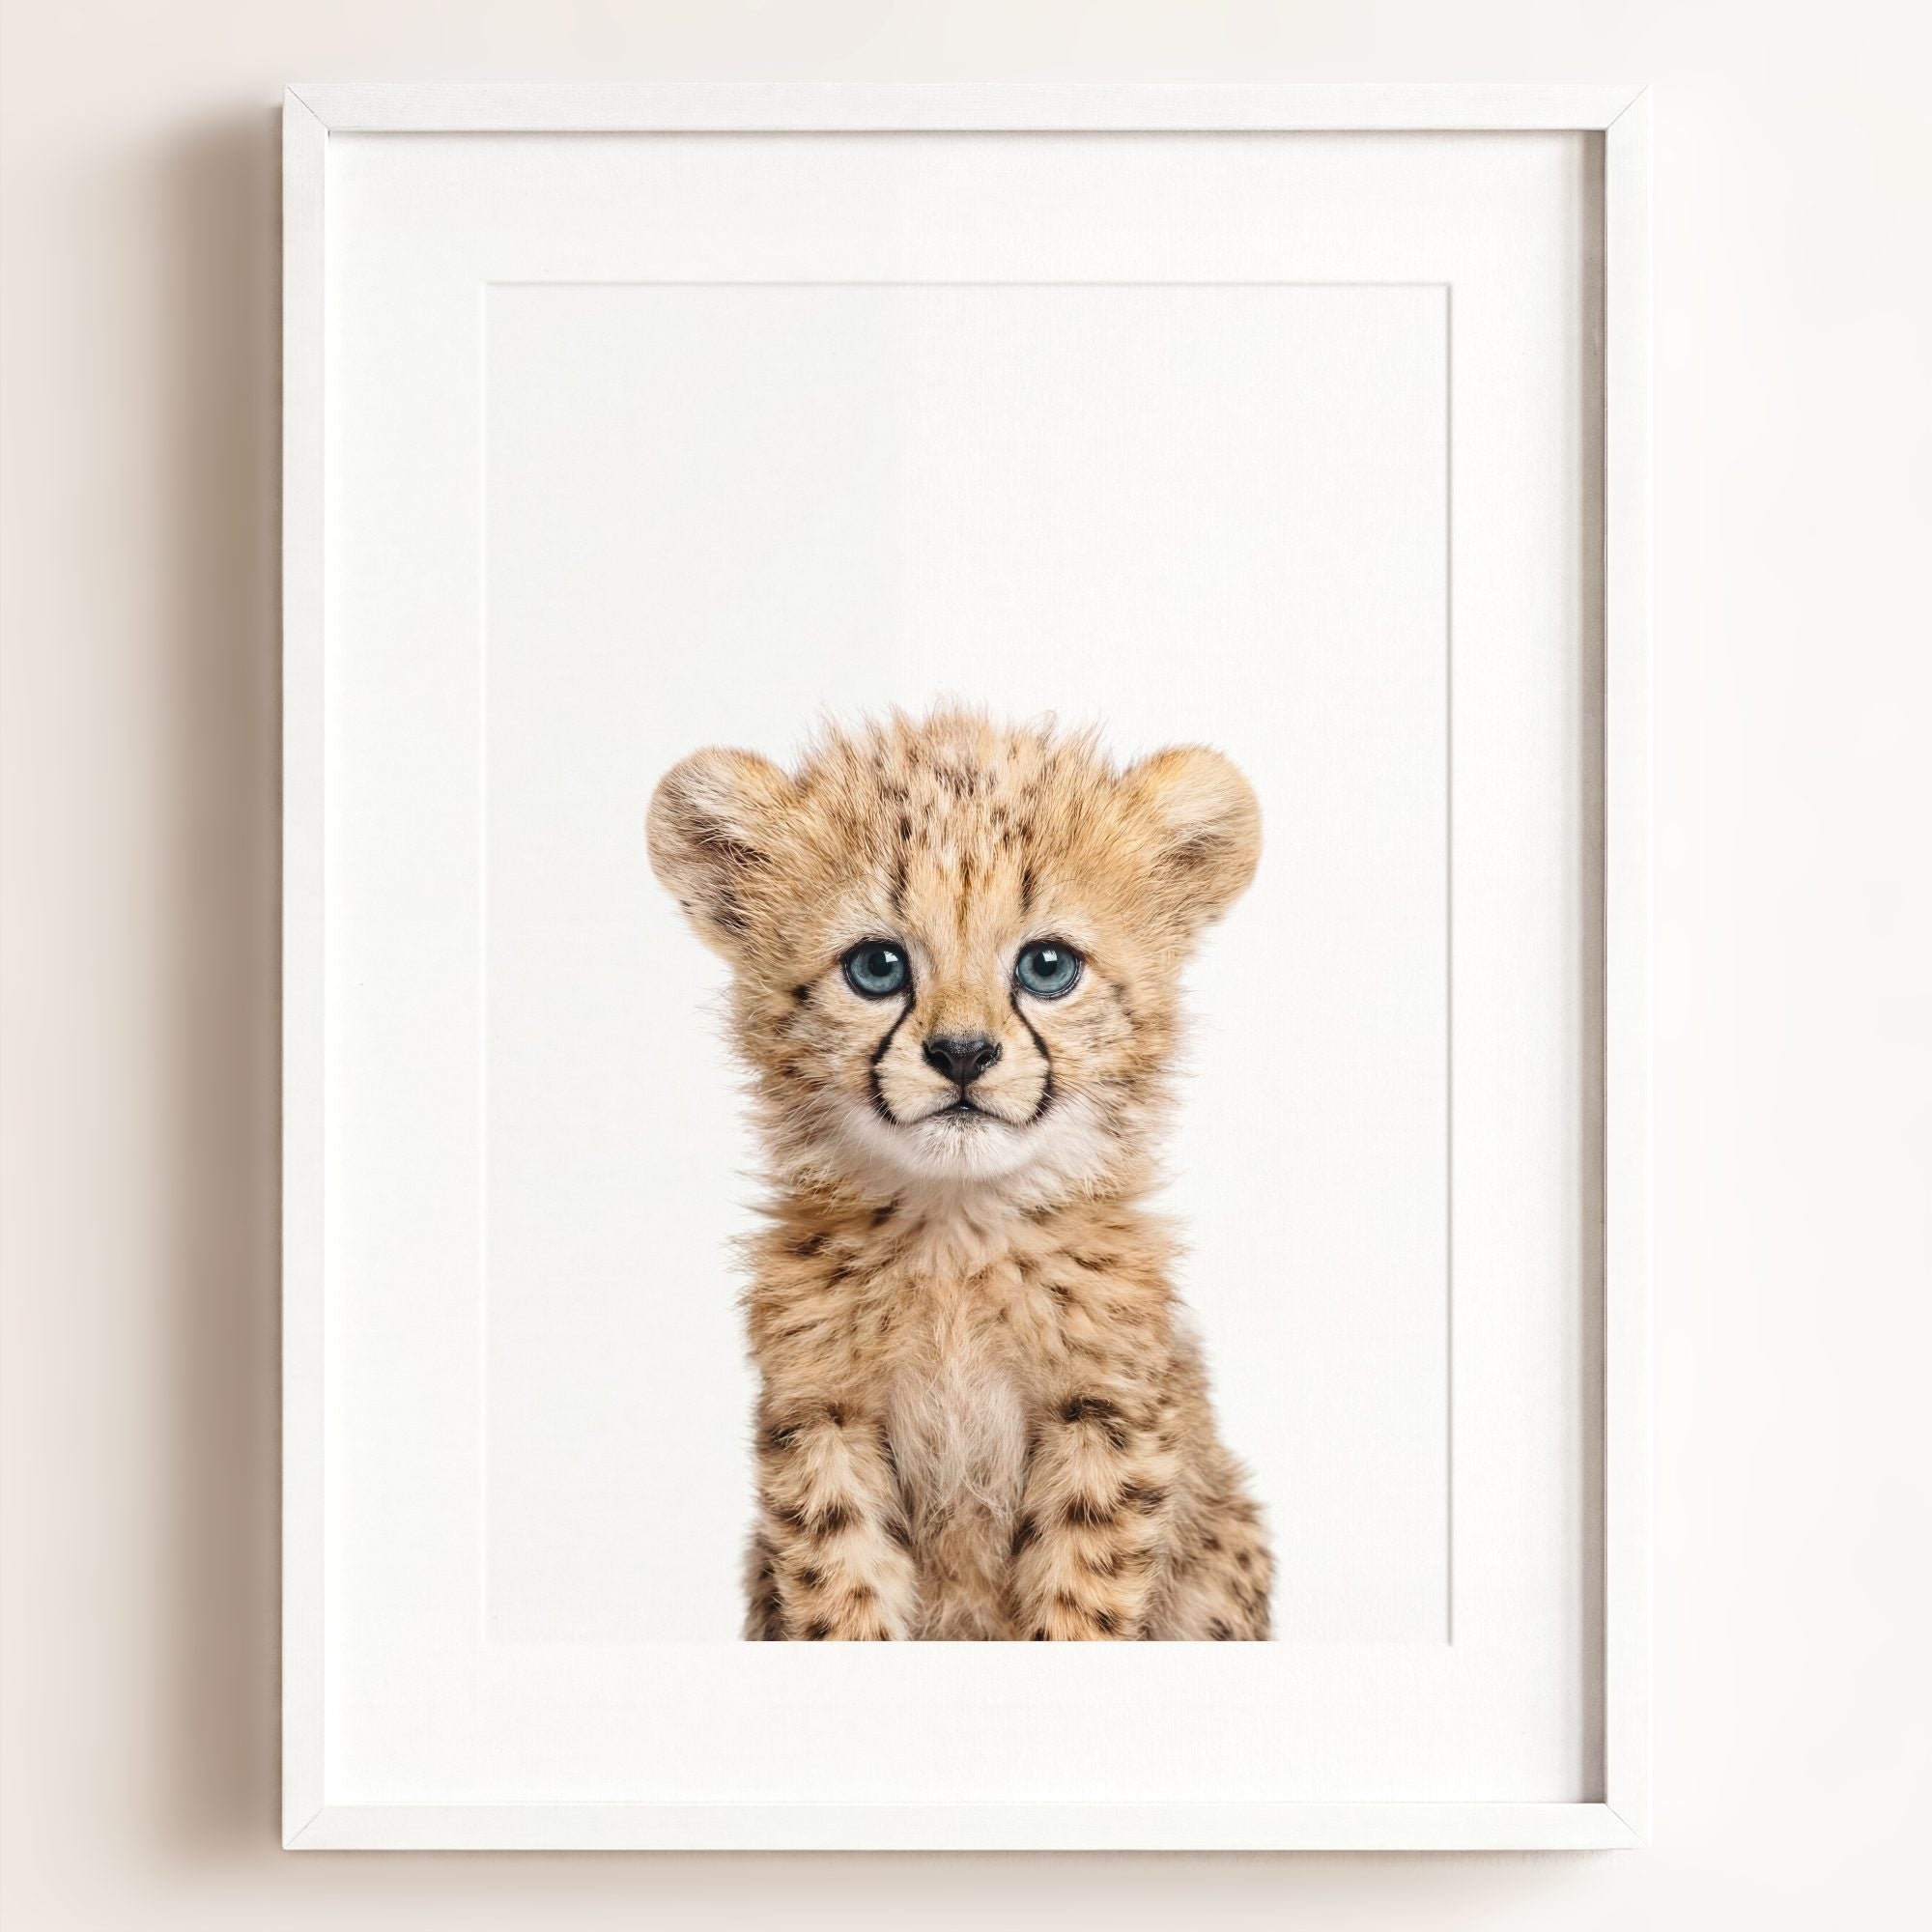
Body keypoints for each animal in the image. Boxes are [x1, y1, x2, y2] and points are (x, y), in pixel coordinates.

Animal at [647, 707, 1272, 1639]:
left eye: (1048, 967)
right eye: (877, 966)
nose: (963, 1054)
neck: (957, 1233)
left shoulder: (1105, 1414)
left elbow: (1081, 1598)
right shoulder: (823, 1419)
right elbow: (842, 1593)